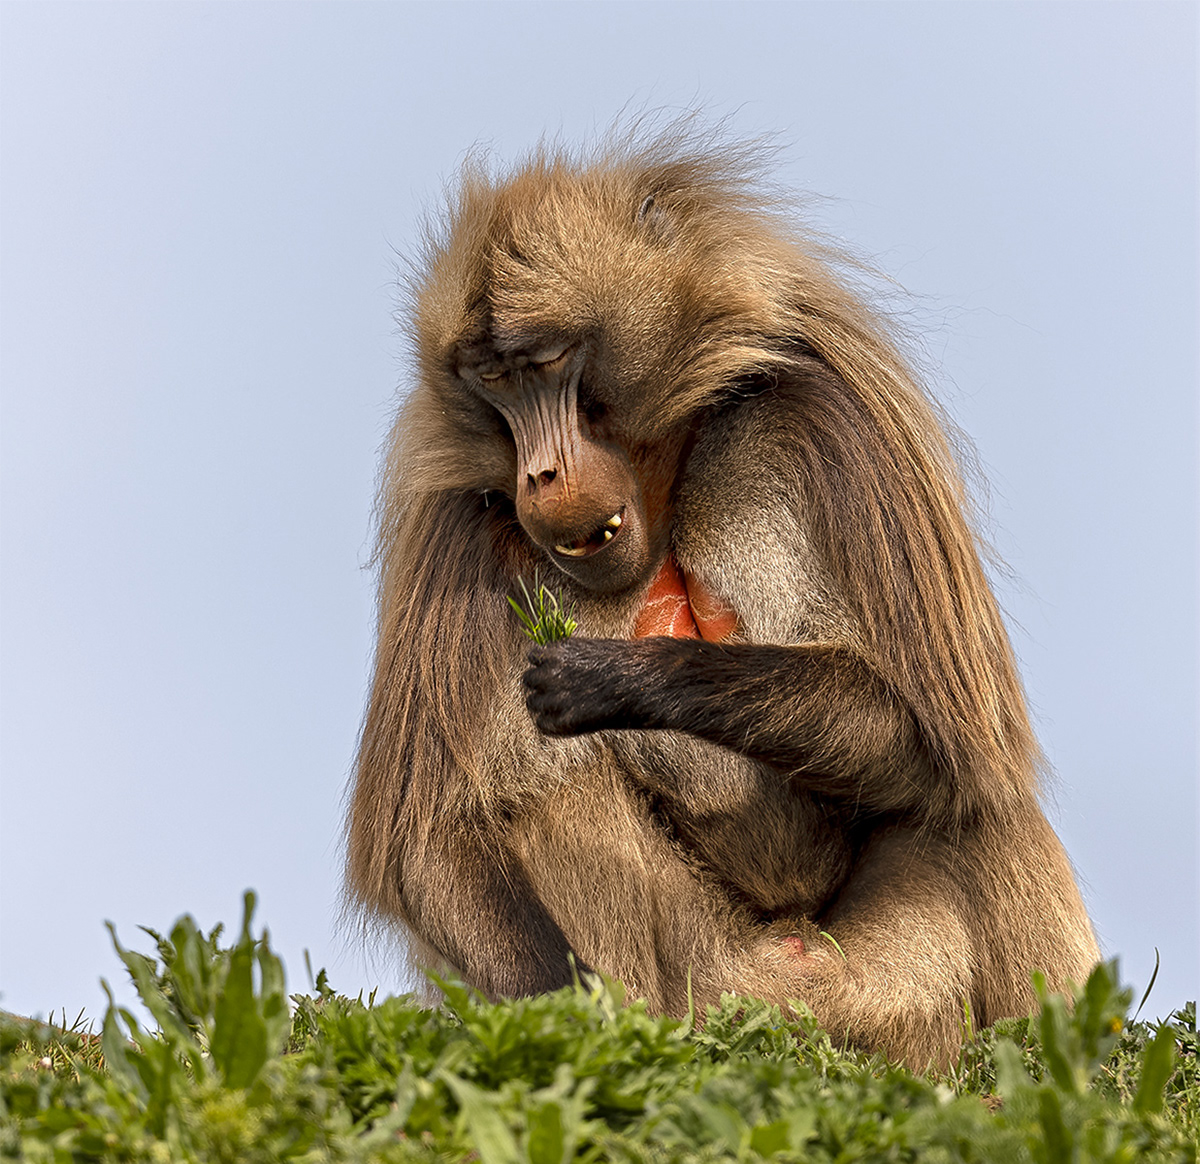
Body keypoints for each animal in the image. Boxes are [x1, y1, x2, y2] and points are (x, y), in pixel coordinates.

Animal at [345, 127, 1099, 1069]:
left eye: (546, 365)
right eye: (495, 383)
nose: (540, 473)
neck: (664, 485)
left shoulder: (835, 420)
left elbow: (932, 727)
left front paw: (629, 677)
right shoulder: (452, 524)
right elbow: (430, 839)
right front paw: (570, 1028)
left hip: (877, 1003)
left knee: (979, 798)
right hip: (711, 994)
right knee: (552, 794)